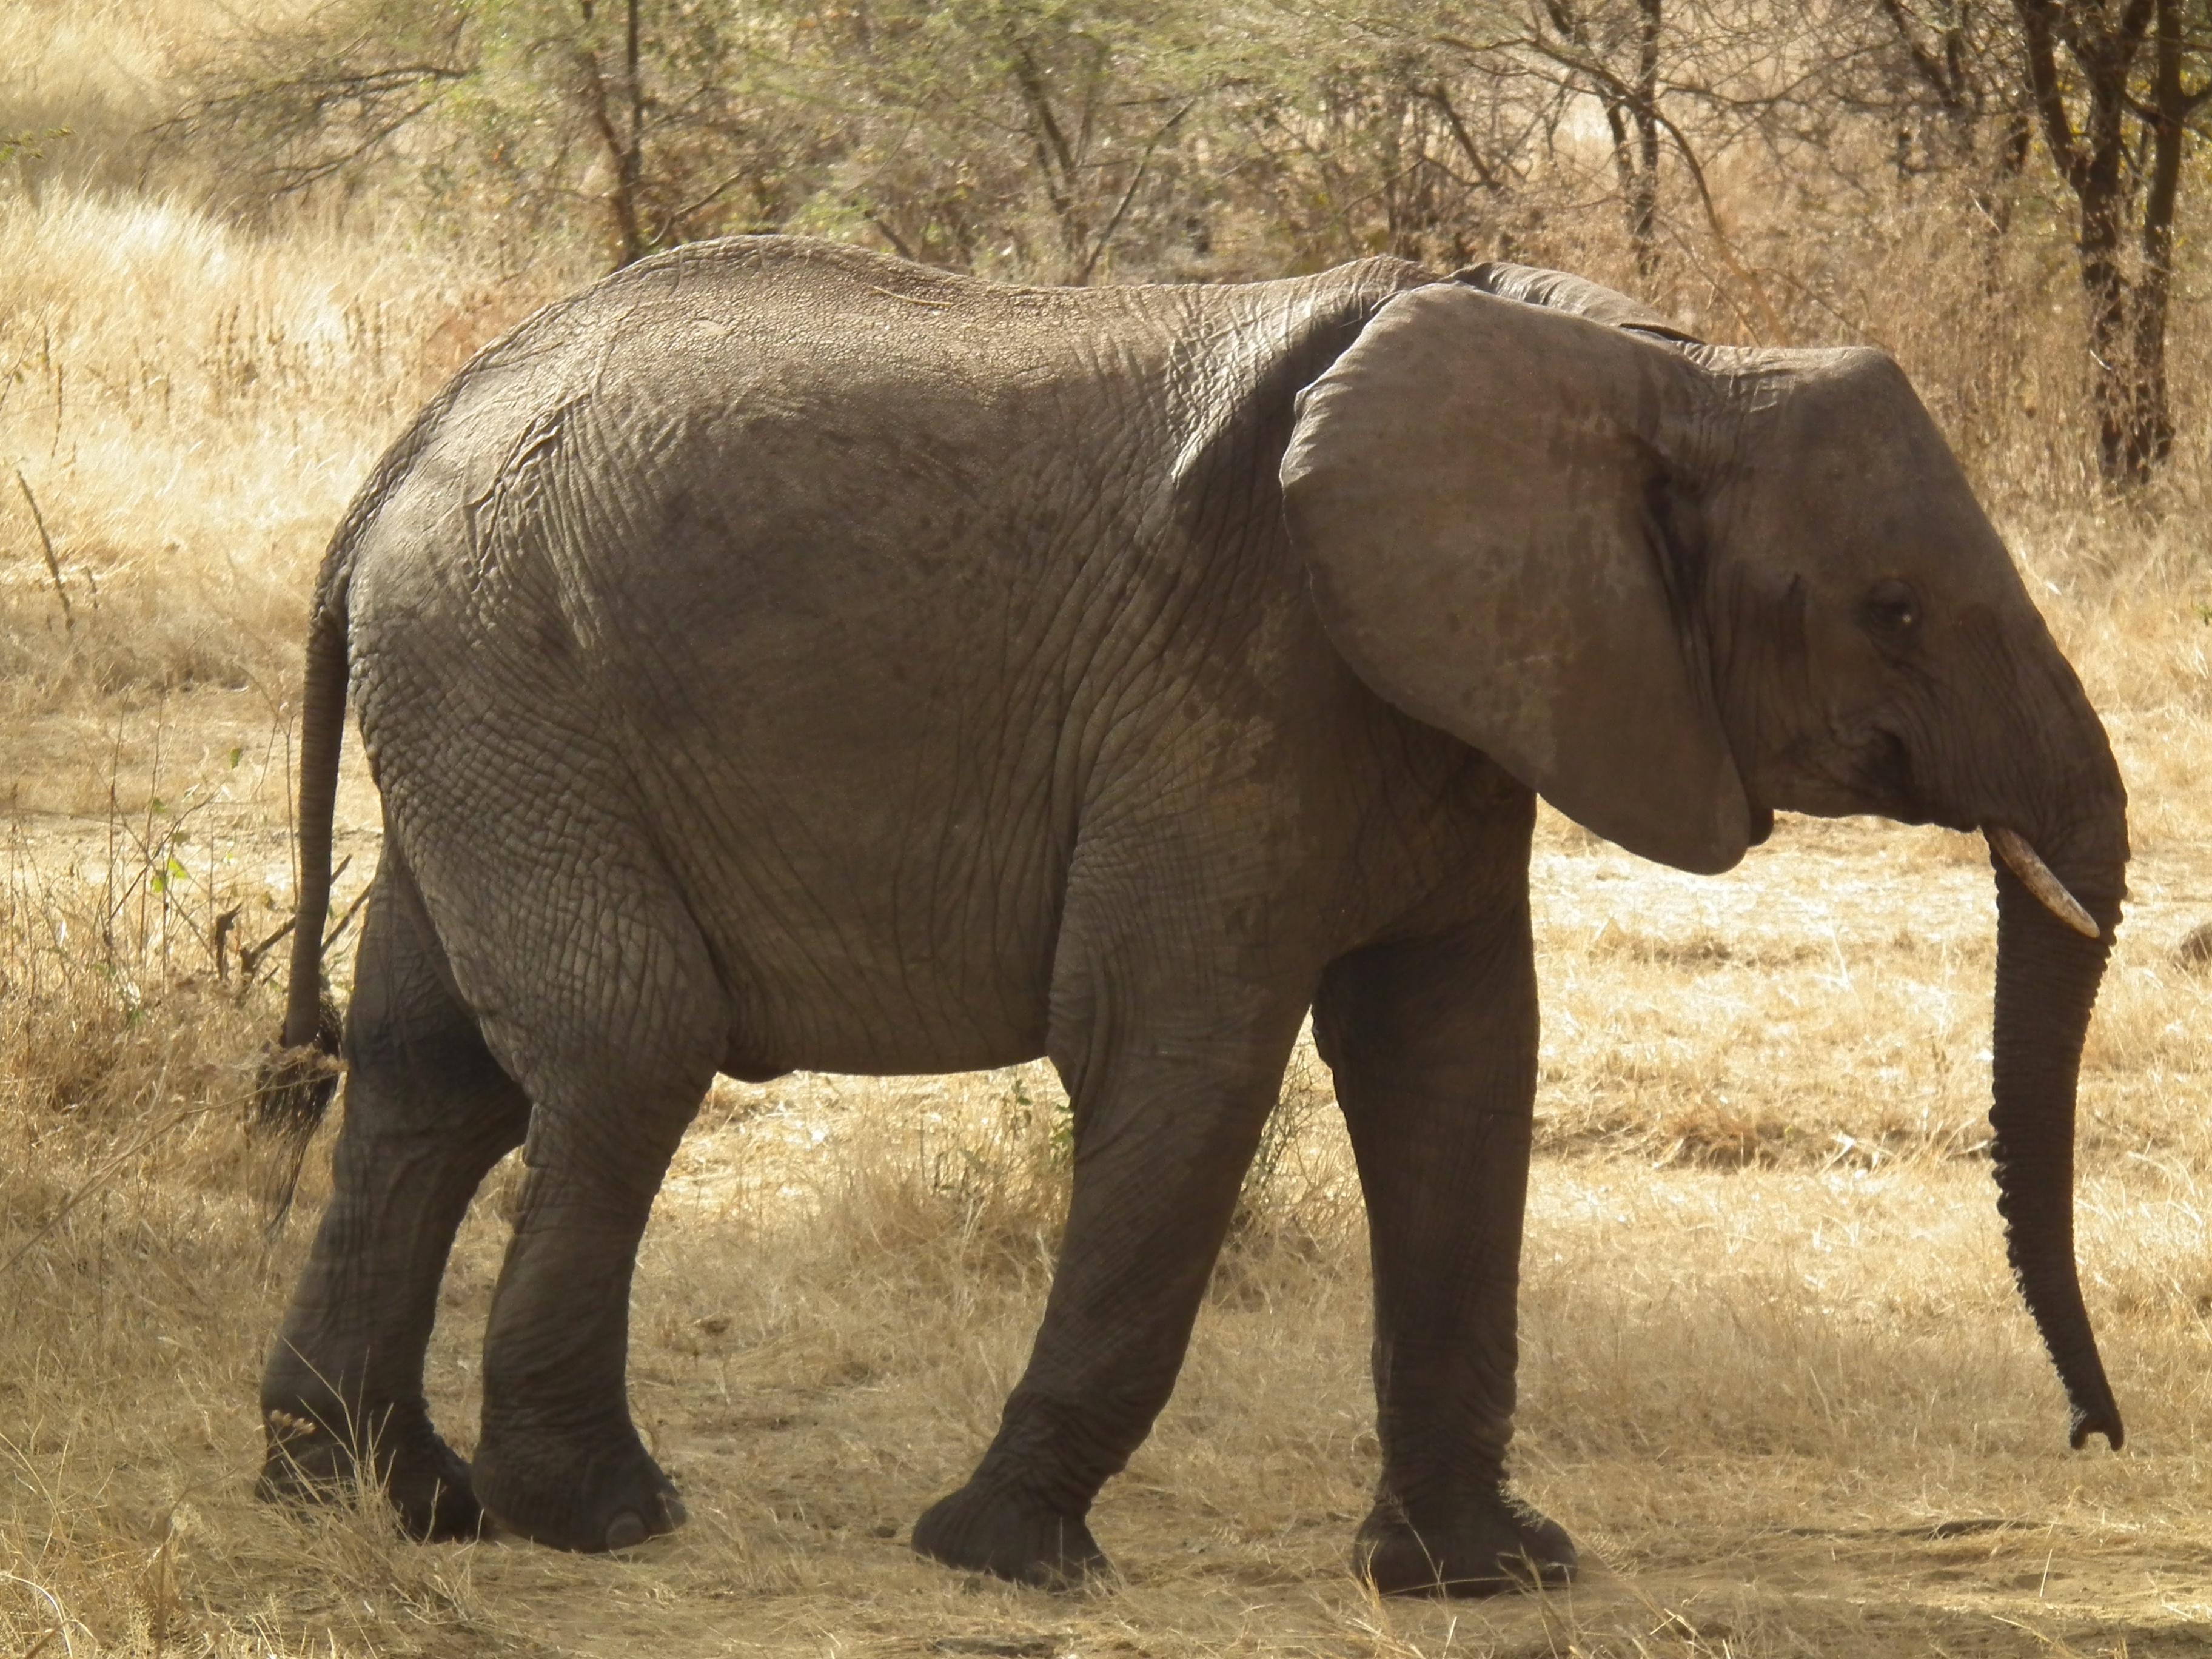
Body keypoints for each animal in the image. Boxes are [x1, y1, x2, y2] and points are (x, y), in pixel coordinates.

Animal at [254, 234, 2123, 1601]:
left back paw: (373, 1492)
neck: (1637, 357)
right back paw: (601, 1516)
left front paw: (1487, 1575)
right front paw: (1007, 1560)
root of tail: (396, 464)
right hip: (518, 676)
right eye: (1893, 610)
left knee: (429, 1071)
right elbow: (1185, 1059)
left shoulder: (1451, 696)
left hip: (486, 710)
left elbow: (1458, 1064)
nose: (2098, 1443)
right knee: (628, 1047)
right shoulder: (1234, 687)